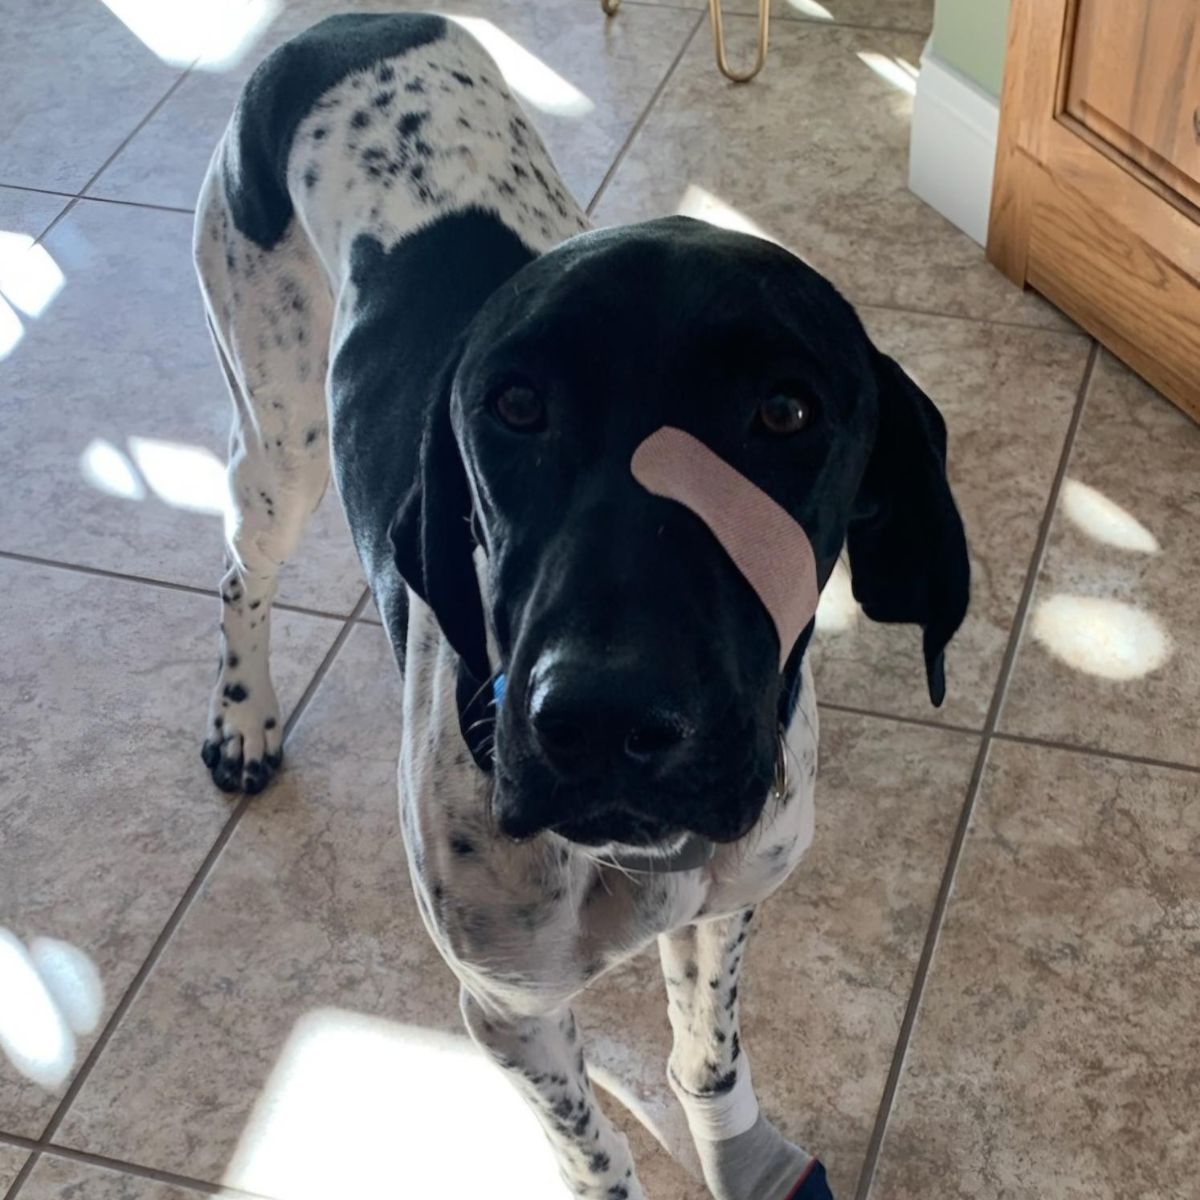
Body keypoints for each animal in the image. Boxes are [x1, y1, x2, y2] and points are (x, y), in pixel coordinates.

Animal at [194, 14, 964, 1195]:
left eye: (785, 412)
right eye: (514, 406)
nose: (601, 718)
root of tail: (342, 26)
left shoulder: (729, 904)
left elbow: (707, 1048)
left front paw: (737, 1149)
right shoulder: (509, 1013)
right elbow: (594, 1155)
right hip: (279, 441)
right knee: (243, 568)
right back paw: (243, 718)